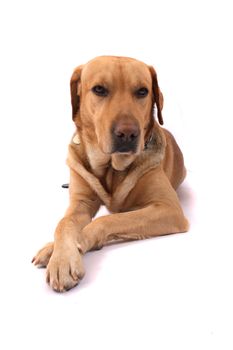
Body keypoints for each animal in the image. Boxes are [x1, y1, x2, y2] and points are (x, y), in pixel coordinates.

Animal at [32, 56, 189, 292]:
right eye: (99, 89)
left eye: (142, 91)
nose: (128, 134)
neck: (111, 167)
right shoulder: (81, 202)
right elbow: (64, 223)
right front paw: (59, 256)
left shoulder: (168, 209)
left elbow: (107, 220)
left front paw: (76, 246)